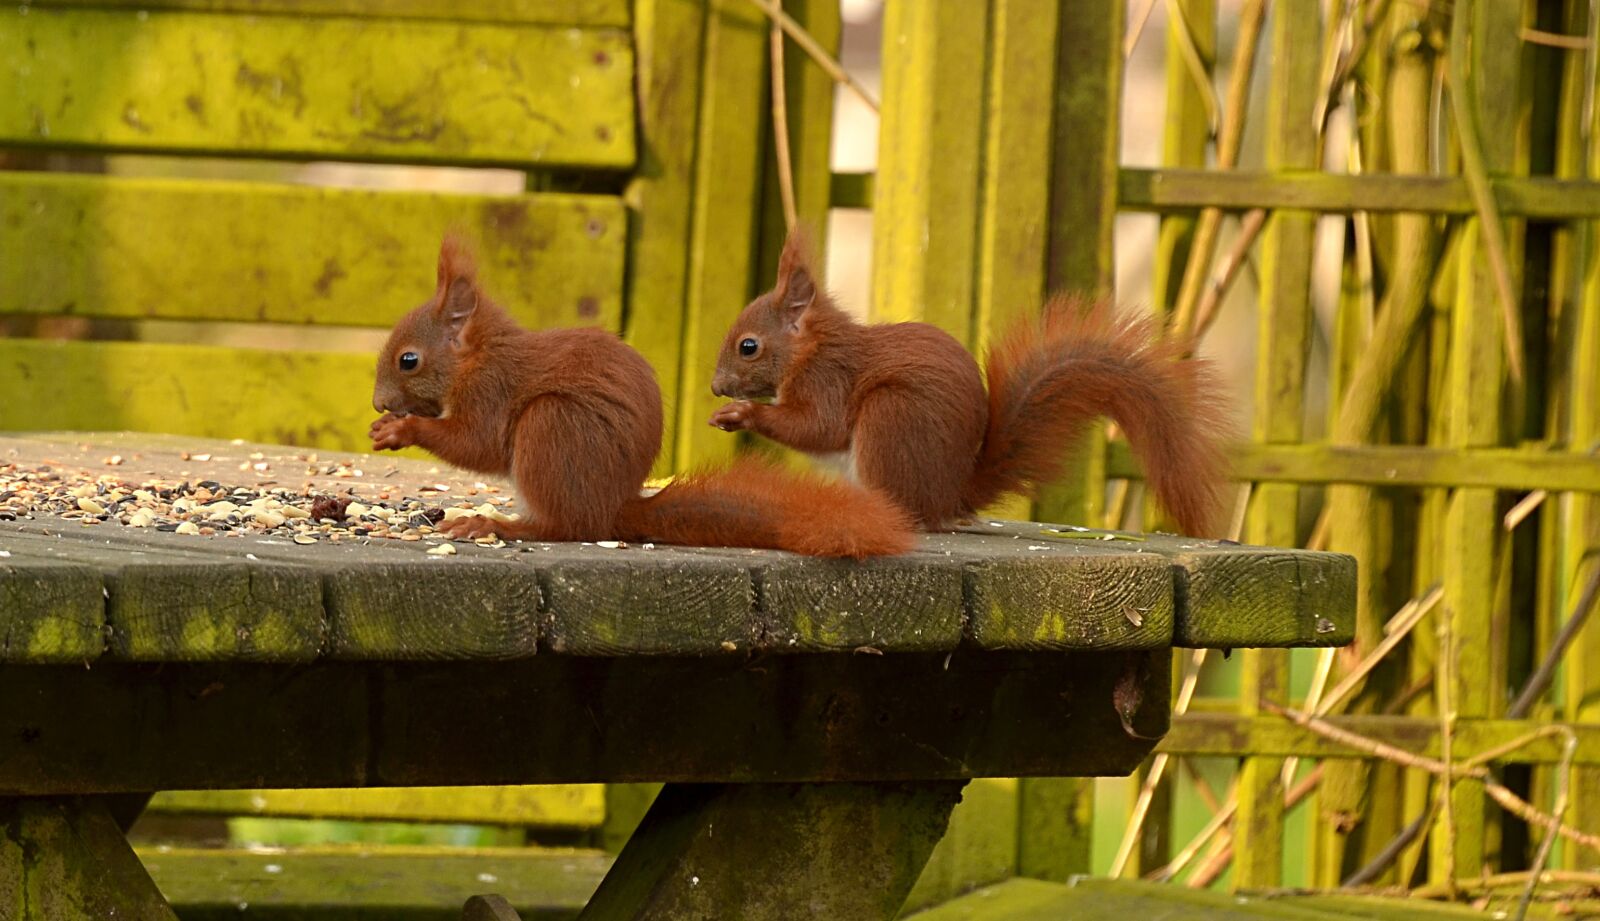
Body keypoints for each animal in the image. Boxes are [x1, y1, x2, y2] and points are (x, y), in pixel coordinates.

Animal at [368, 234, 915, 559]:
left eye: (409, 360)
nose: (377, 403)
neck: (474, 358)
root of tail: (611, 509)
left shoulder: (491, 392)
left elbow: (475, 444)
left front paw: (401, 428)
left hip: (551, 428)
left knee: (561, 528)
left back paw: (492, 524)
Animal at [708, 230, 1230, 537]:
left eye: (749, 346)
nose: (714, 386)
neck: (809, 349)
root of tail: (950, 494)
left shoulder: (828, 381)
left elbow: (819, 428)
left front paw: (743, 413)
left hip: (890, 417)